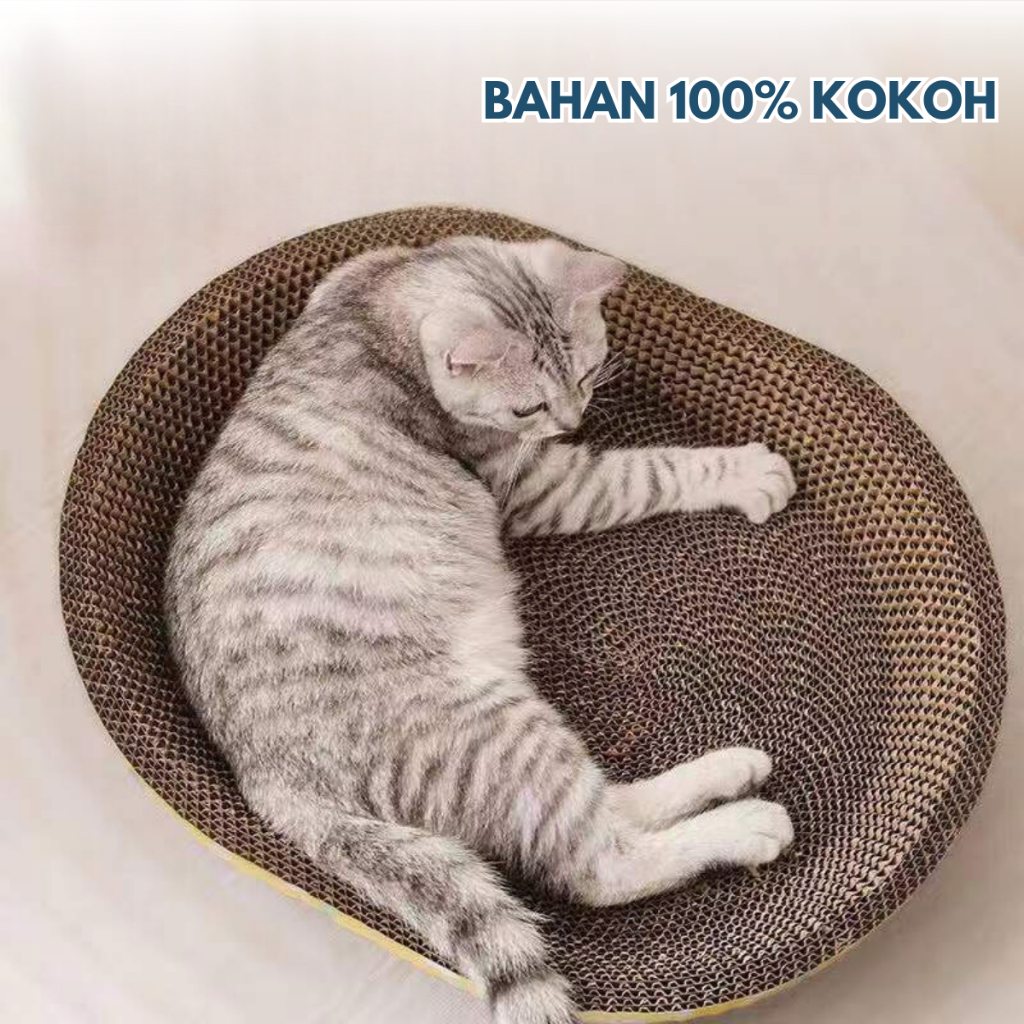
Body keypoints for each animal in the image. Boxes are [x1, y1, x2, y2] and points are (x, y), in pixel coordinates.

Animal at [164, 236, 797, 1024]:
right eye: (527, 405)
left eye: (584, 371)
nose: (571, 420)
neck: (380, 305)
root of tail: (268, 779)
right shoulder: (542, 483)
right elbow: (651, 472)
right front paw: (744, 472)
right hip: (499, 732)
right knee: (600, 863)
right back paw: (748, 825)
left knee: (610, 811)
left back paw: (729, 770)